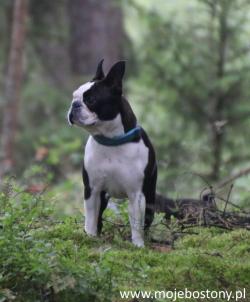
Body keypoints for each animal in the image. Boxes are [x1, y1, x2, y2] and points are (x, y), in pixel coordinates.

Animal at [66, 60, 156, 247]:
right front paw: (89, 237)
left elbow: (136, 223)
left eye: (91, 99)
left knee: (147, 221)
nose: (74, 105)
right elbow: (91, 218)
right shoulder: (92, 190)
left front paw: (138, 246)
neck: (111, 141)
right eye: (74, 96)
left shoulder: (136, 195)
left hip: (151, 197)